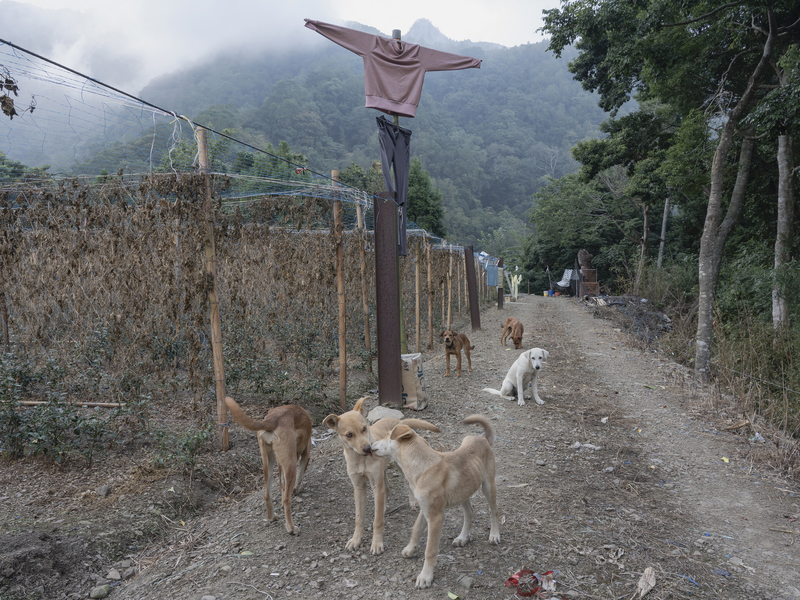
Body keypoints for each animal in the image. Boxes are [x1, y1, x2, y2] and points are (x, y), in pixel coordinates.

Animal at [225, 398, 316, 536]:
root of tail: (273, 419)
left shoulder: (280, 464)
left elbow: (281, 483)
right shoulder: (305, 455)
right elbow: (298, 477)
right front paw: (296, 490)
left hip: (268, 463)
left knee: (267, 495)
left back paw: (271, 517)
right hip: (290, 465)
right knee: (286, 499)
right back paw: (291, 528)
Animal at [322, 396, 440, 556]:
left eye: (364, 428)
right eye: (349, 435)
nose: (368, 449)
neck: (360, 459)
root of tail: (399, 422)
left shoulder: (376, 486)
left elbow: (377, 521)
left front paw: (377, 543)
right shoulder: (359, 487)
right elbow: (359, 518)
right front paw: (356, 540)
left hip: (399, 465)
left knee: (408, 484)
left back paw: (412, 501)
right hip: (382, 472)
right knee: (387, 489)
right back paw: (383, 507)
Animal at [370, 414, 500, 588]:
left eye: (387, 435)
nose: (370, 445)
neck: (423, 469)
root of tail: (482, 439)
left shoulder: (435, 517)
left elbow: (430, 550)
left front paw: (426, 576)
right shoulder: (424, 509)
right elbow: (416, 529)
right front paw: (410, 549)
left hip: (488, 486)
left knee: (494, 511)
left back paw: (494, 535)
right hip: (463, 492)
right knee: (469, 513)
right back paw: (463, 537)